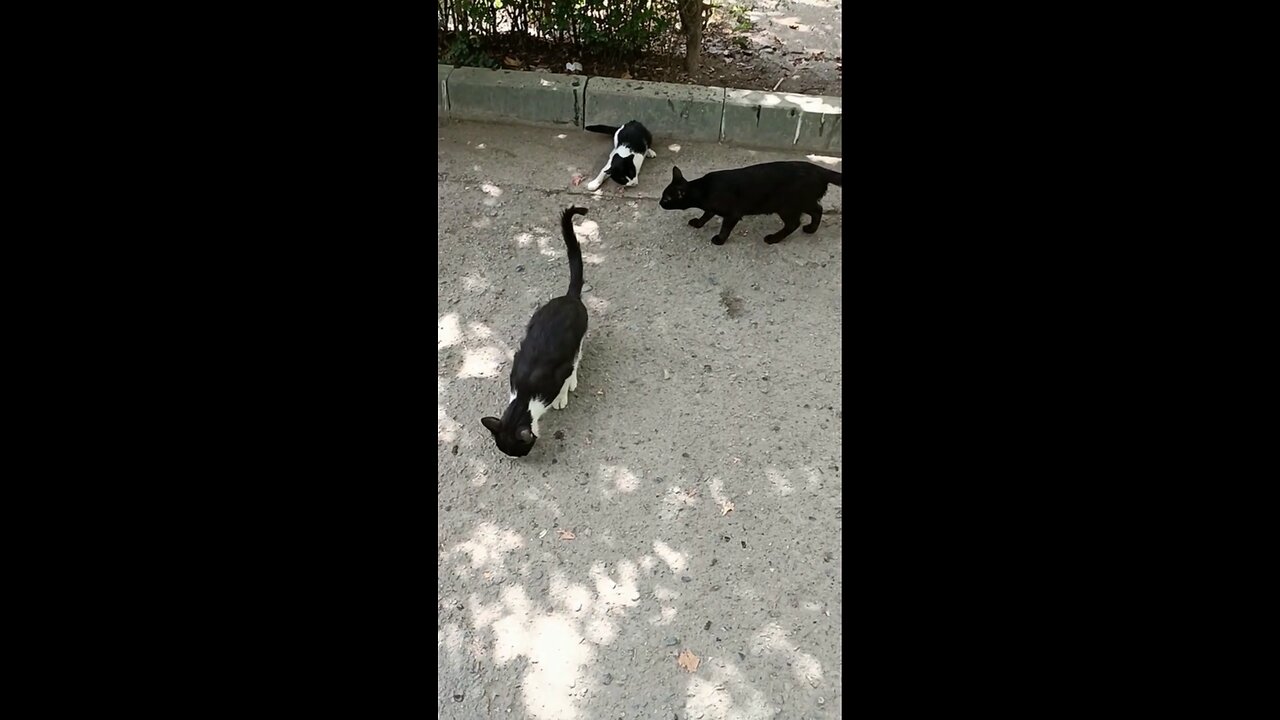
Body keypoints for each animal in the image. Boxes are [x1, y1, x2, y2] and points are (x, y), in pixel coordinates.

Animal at [481, 204, 588, 456]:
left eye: (521, 451)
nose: (516, 458)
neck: (524, 396)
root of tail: (569, 298)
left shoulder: (560, 372)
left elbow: (565, 378)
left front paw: (561, 396)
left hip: (579, 335)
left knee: (578, 355)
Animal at [660, 159, 839, 243]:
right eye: (662, 196)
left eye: (667, 198)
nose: (660, 203)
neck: (705, 189)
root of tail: (820, 170)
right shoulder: (711, 208)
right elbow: (706, 215)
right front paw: (698, 223)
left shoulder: (732, 214)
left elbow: (725, 228)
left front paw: (719, 240)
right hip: (802, 203)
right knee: (818, 210)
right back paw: (811, 229)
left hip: (787, 206)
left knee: (794, 224)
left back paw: (773, 239)